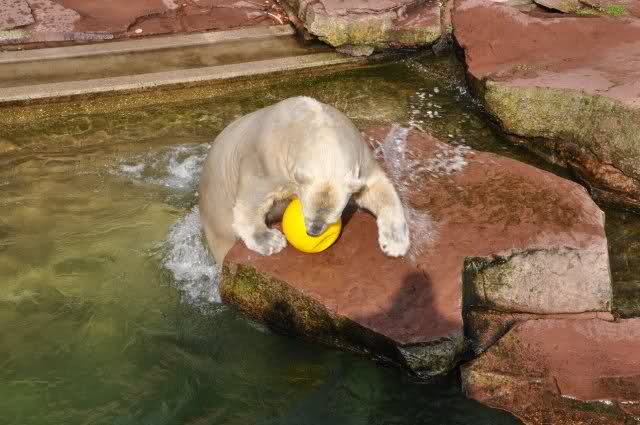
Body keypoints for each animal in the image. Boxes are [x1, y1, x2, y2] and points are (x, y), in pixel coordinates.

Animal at [199, 96, 410, 266]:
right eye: (305, 214)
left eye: (333, 220)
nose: (313, 232)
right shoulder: (265, 162)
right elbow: (253, 198)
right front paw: (270, 240)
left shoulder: (361, 159)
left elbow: (377, 188)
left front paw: (395, 243)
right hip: (216, 209)